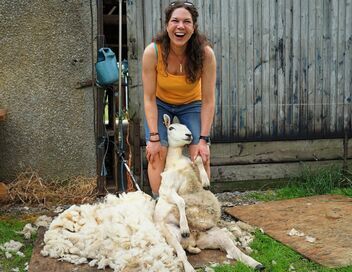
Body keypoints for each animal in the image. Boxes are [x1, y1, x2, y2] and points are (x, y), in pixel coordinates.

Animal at [154, 113, 264, 270]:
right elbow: (181, 201)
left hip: (217, 235)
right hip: (170, 235)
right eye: (171, 128)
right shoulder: (167, 189)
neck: (176, 160)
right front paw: (185, 227)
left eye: (186, 127)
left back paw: (256, 264)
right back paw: (189, 265)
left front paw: (206, 182)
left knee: (234, 250)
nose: (189, 135)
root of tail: (194, 242)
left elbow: (199, 160)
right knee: (181, 254)